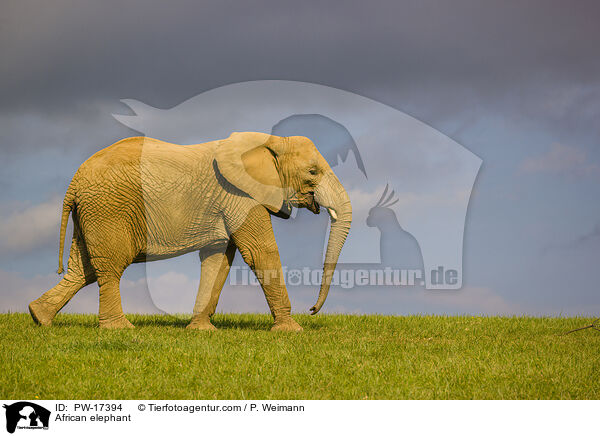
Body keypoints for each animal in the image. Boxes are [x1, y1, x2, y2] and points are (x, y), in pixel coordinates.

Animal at [29, 132, 352, 330]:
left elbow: (218, 259)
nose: (312, 309)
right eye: (312, 172)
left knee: (82, 269)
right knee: (109, 267)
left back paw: (38, 317)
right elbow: (260, 252)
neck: (269, 142)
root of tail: (74, 183)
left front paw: (201, 330)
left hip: (93, 212)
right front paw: (292, 330)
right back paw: (119, 328)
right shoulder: (240, 195)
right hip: (109, 209)